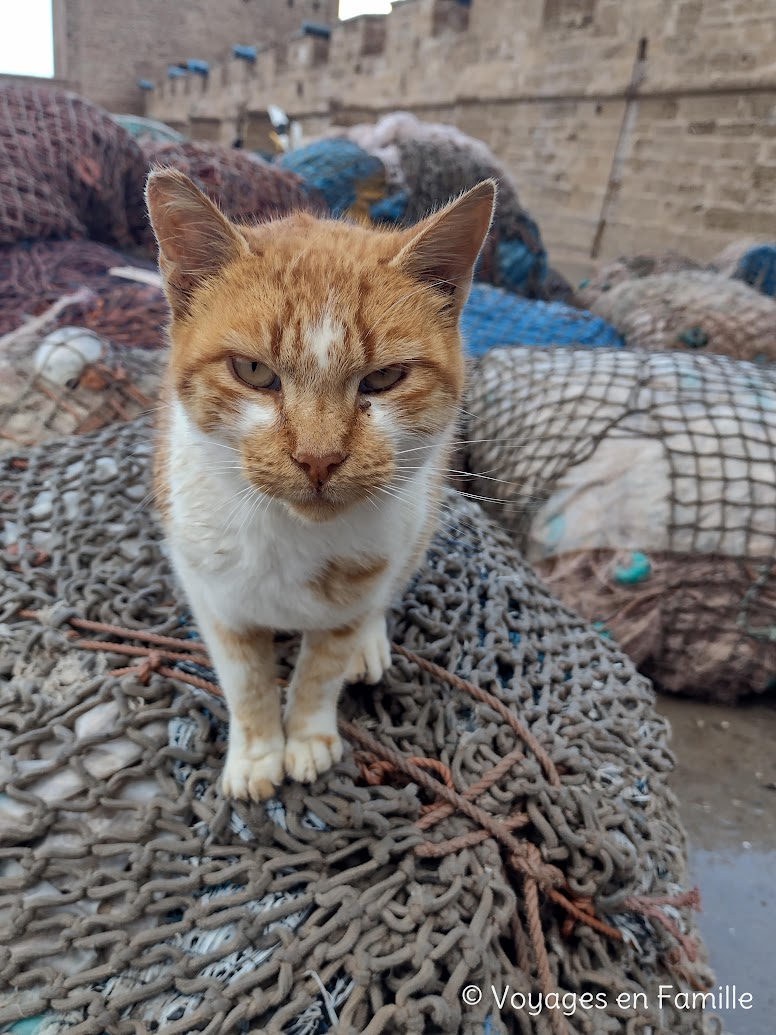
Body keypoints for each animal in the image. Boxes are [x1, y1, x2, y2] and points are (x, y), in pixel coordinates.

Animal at [145, 167, 494, 799]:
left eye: (385, 378)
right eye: (253, 371)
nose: (318, 457)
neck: (292, 536)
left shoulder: (359, 590)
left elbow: (321, 670)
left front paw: (307, 737)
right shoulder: (215, 597)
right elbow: (245, 680)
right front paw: (259, 753)